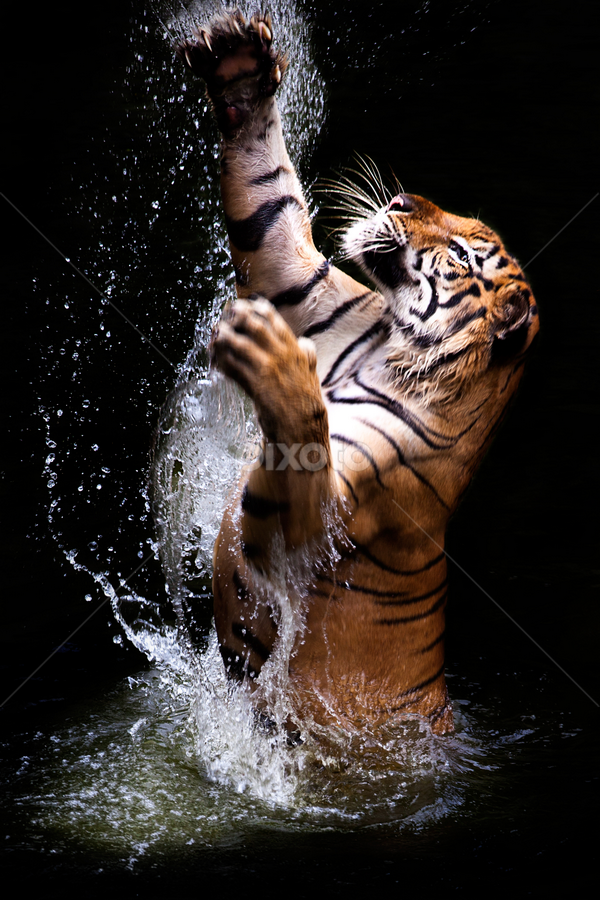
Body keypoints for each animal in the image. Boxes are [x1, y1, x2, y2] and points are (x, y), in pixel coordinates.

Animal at [174, 10, 539, 736]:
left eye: (461, 252)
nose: (399, 198)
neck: (390, 345)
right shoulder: (306, 286)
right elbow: (269, 204)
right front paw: (240, 65)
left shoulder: (320, 528)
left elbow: (304, 440)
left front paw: (272, 357)